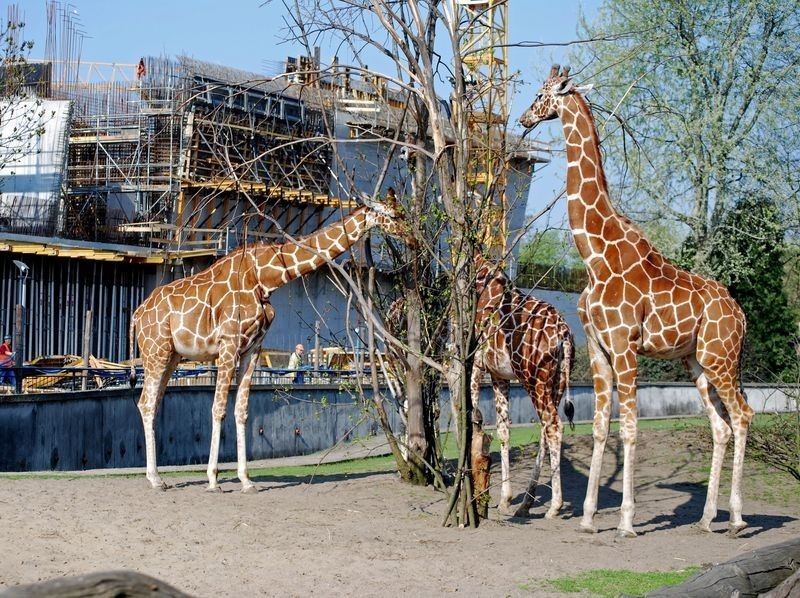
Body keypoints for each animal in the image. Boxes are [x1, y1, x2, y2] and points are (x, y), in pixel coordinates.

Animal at [129, 196, 412, 492]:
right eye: (393, 214)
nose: (412, 238)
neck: (265, 279)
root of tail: (137, 313)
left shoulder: (253, 349)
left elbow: (242, 410)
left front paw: (245, 479)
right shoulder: (228, 345)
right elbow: (218, 409)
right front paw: (213, 478)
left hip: (171, 356)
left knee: (152, 403)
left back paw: (156, 476)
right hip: (156, 351)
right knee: (146, 403)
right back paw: (155, 479)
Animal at [468, 258, 576, 520]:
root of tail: (564, 336)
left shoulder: (480, 365)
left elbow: (475, 411)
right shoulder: (501, 375)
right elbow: (503, 429)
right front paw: (506, 499)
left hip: (534, 380)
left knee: (553, 426)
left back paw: (555, 506)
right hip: (557, 383)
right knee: (545, 429)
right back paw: (526, 503)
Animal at [520, 67, 752, 540]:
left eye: (541, 95)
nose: (523, 119)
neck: (594, 255)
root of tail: (740, 315)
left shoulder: (625, 346)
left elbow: (628, 429)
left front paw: (626, 521)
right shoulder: (598, 348)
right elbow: (598, 428)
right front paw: (588, 518)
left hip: (721, 358)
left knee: (742, 417)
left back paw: (737, 518)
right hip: (696, 362)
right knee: (720, 427)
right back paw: (706, 518)